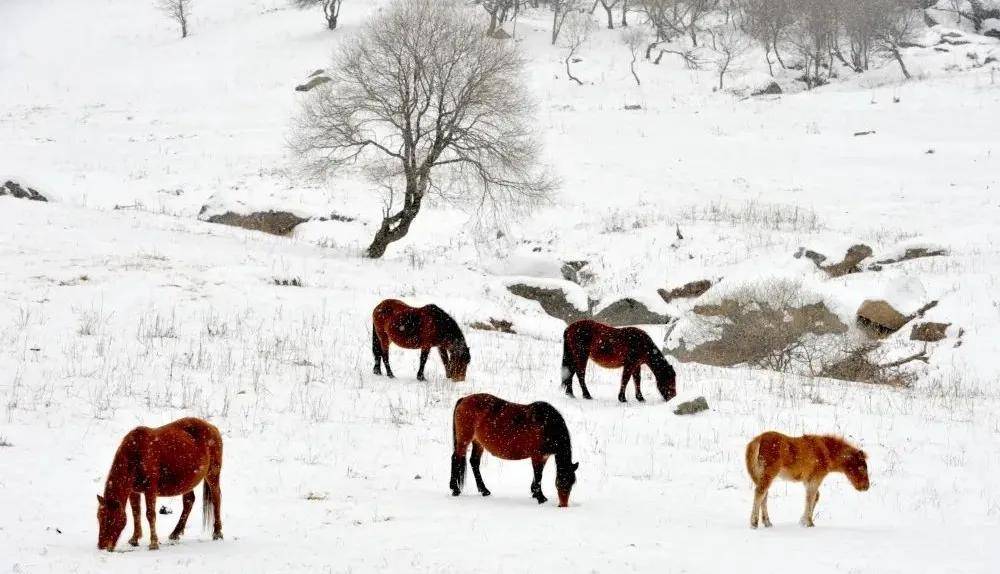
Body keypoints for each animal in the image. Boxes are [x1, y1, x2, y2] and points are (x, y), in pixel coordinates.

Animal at [96, 418, 224, 552]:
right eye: (99, 518)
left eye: (110, 520)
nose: (101, 546)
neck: (136, 454)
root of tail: (213, 427)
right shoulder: (134, 491)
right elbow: (136, 513)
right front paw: (134, 539)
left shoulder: (150, 490)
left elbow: (150, 514)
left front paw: (153, 543)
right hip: (188, 481)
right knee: (189, 501)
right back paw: (175, 533)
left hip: (212, 474)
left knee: (216, 498)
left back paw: (217, 533)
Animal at [452, 396, 584, 508]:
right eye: (561, 482)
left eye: (572, 483)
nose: (563, 505)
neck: (547, 426)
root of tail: (464, 399)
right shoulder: (537, 456)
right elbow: (538, 475)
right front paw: (540, 498)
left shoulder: (544, 457)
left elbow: (538, 475)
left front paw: (535, 493)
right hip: (464, 440)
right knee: (456, 459)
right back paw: (455, 489)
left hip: (478, 443)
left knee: (474, 462)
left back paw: (484, 490)